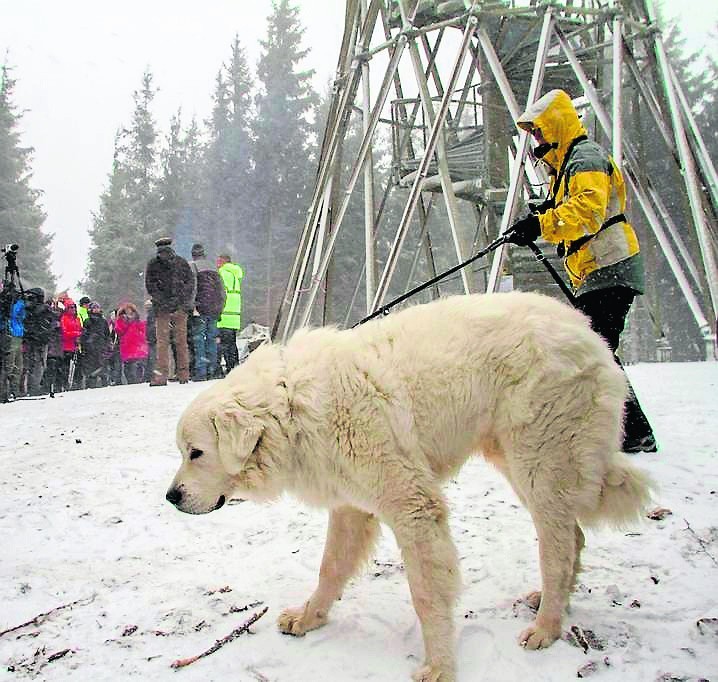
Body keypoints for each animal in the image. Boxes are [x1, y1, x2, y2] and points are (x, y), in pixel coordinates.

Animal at [166, 292, 656, 680]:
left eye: (196, 452)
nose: (171, 497)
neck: (292, 407)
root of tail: (586, 329)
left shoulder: (412, 507)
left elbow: (425, 595)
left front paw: (439, 665)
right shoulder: (352, 507)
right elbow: (330, 569)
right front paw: (309, 618)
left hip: (539, 461)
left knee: (557, 548)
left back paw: (546, 627)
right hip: (521, 464)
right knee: (572, 535)